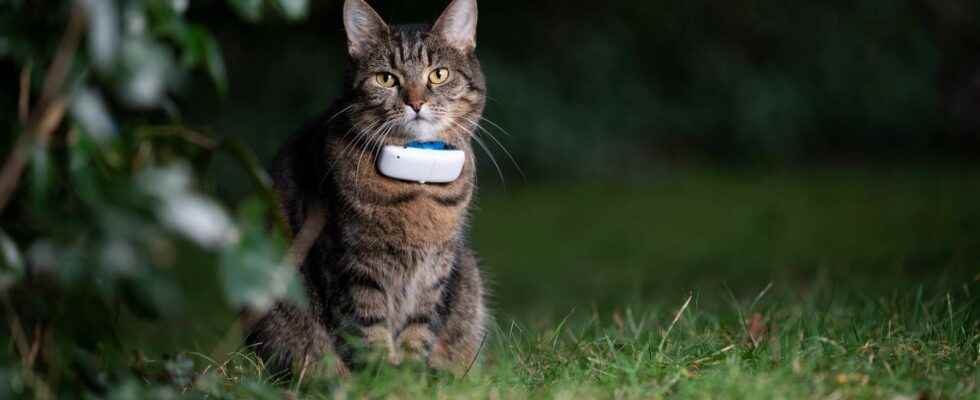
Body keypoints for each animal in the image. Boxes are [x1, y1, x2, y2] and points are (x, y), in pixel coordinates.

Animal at [247, 0, 488, 376]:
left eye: (438, 74)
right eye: (386, 78)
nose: (415, 103)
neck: (419, 181)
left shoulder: (435, 269)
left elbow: (419, 327)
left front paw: (411, 376)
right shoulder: (351, 264)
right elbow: (367, 328)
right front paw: (382, 378)